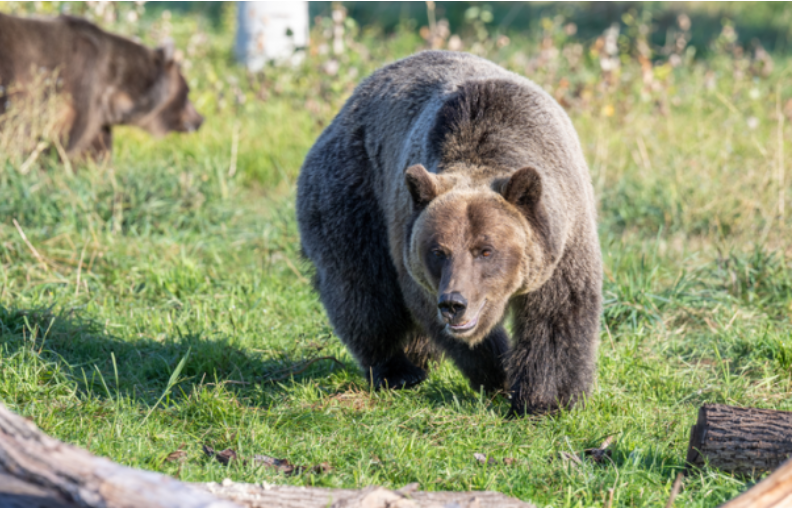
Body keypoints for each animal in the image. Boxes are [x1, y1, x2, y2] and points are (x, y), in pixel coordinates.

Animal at [0, 12, 203, 158]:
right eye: (187, 92)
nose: (200, 119)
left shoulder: (97, 117)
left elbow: (96, 150)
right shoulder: (77, 89)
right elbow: (60, 144)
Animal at [296, 51, 600, 416]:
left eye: (486, 250)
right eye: (438, 251)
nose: (454, 303)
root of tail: (346, 108)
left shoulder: (563, 237)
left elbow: (557, 313)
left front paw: (545, 400)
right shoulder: (412, 249)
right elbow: (428, 310)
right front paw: (498, 374)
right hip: (353, 194)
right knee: (362, 289)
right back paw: (398, 369)